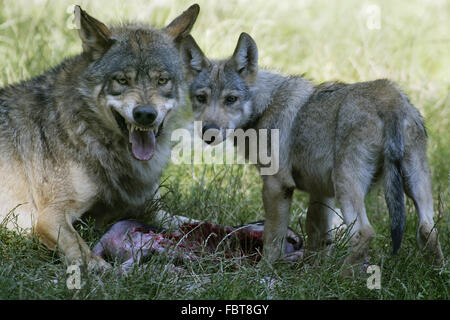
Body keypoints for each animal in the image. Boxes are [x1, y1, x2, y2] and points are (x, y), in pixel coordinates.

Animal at [0, 4, 199, 270]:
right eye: (122, 80)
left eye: (162, 80)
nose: (145, 114)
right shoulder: (49, 216)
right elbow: (81, 250)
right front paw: (103, 269)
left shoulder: (149, 208)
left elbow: (195, 223)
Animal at [178, 33, 442, 272]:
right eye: (201, 98)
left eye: (231, 99)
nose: (209, 132)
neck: (266, 105)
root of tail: (389, 96)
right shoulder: (321, 193)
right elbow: (318, 237)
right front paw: (312, 271)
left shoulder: (276, 186)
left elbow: (272, 239)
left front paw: (264, 271)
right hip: (413, 185)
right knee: (428, 229)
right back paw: (434, 273)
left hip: (348, 187)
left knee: (364, 233)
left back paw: (342, 279)